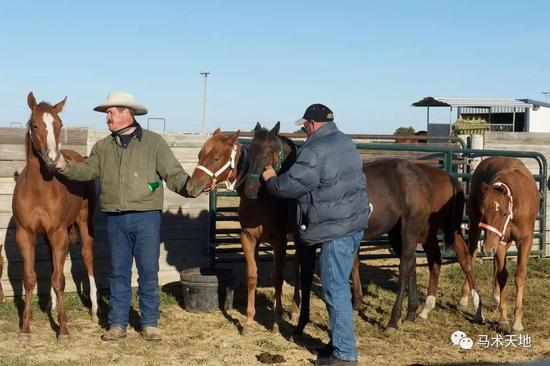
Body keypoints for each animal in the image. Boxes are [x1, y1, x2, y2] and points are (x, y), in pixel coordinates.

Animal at [11, 92, 96, 340]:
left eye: (59, 124)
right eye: (35, 125)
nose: (52, 158)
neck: (39, 190)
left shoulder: (58, 233)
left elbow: (59, 280)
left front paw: (64, 330)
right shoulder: (25, 235)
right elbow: (30, 279)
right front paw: (25, 330)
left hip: (83, 221)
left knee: (87, 255)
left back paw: (95, 310)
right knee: (53, 262)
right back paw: (54, 305)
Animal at [185, 126, 300, 334]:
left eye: (216, 158)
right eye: (199, 155)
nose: (190, 187)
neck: (262, 200)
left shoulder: (279, 241)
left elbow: (278, 277)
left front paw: (276, 322)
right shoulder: (247, 238)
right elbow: (252, 275)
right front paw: (248, 321)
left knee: (298, 270)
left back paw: (295, 310)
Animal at [462, 156, 540, 334]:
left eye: (503, 213)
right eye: (484, 214)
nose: (487, 248)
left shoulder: (525, 240)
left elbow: (519, 276)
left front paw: (517, 324)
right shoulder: (501, 241)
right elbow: (502, 275)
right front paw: (503, 320)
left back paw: (496, 296)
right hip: (475, 226)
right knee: (471, 256)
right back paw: (465, 297)